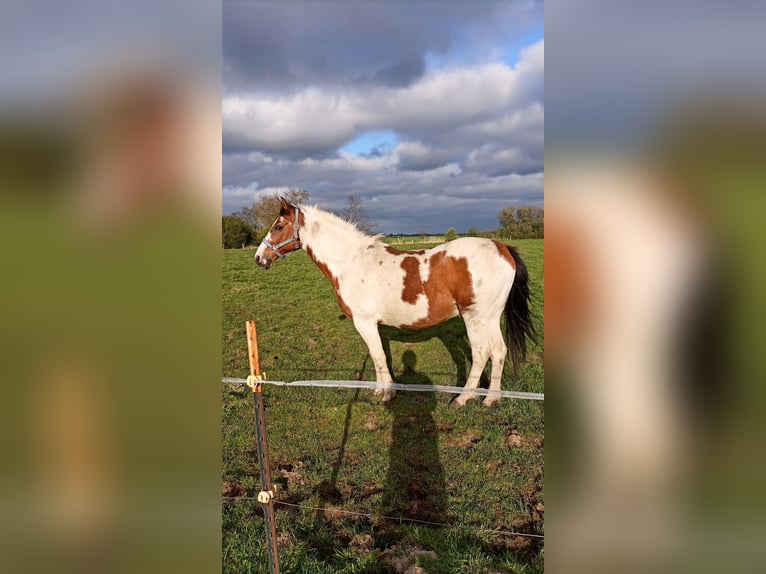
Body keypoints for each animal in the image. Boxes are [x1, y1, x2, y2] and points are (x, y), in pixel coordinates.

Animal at [255, 200, 536, 408]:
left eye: (278, 226)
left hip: (474, 317)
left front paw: (388, 394)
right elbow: (377, 356)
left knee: (481, 354)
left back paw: (463, 398)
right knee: (499, 351)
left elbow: (379, 356)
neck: (351, 261)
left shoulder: (365, 323)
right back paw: (491, 399)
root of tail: (502, 248)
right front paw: (379, 392)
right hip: (491, 317)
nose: (259, 258)